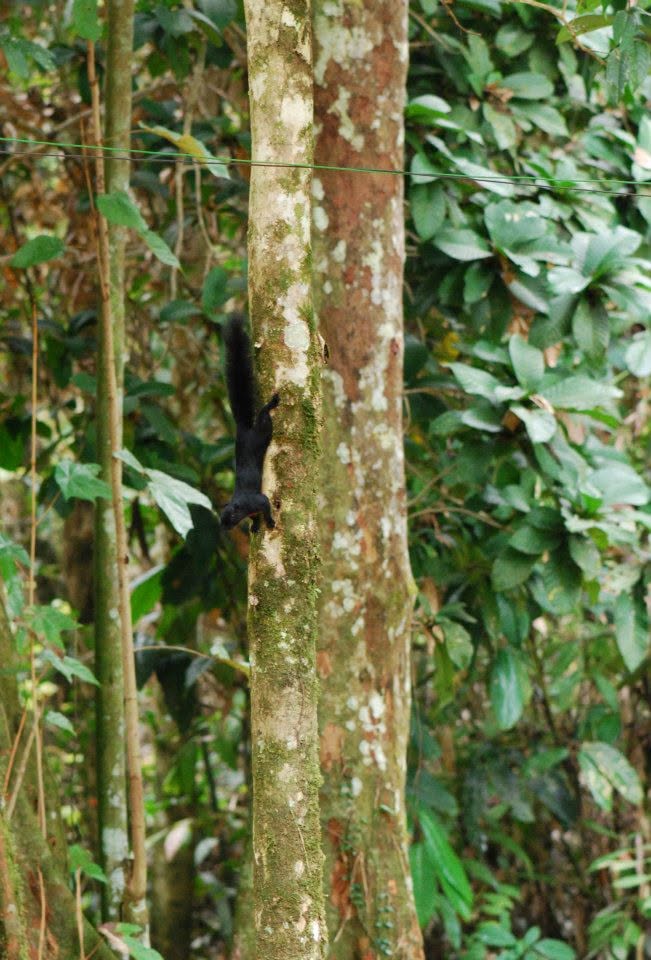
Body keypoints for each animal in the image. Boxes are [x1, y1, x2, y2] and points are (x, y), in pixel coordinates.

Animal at [220, 314, 279, 534]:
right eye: (222, 519)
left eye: (232, 516)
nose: (225, 529)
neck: (243, 506)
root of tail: (243, 429)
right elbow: (255, 517)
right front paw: (255, 525)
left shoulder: (255, 501)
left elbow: (265, 504)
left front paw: (269, 521)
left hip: (262, 431)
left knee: (264, 416)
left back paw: (271, 404)